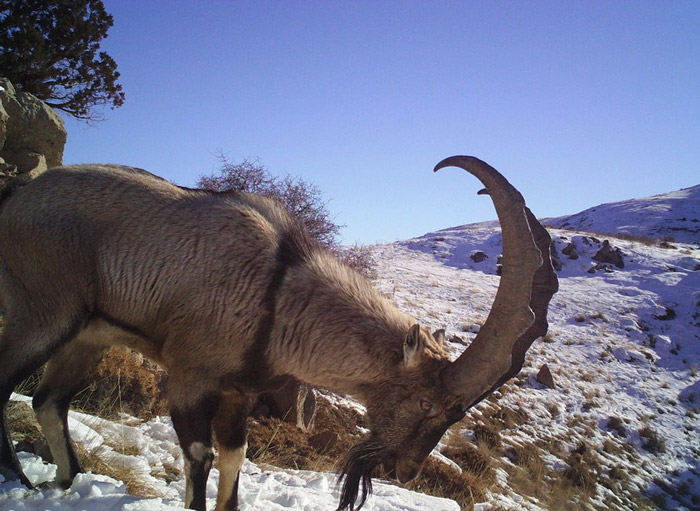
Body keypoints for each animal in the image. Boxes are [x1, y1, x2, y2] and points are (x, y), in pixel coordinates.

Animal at [0, 156, 557, 510]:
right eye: (427, 403)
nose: (405, 471)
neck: (279, 297)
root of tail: (14, 202)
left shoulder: (237, 394)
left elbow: (233, 463)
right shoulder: (191, 377)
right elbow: (200, 460)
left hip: (86, 337)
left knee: (49, 400)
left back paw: (65, 482)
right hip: (44, 312)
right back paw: (20, 479)